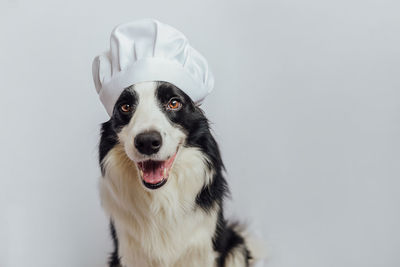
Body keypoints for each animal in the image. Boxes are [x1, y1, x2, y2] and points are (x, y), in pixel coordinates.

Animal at [98, 81, 258, 267]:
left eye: (174, 103)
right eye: (125, 107)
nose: (147, 142)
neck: (161, 198)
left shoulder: (202, 250)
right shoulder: (129, 252)